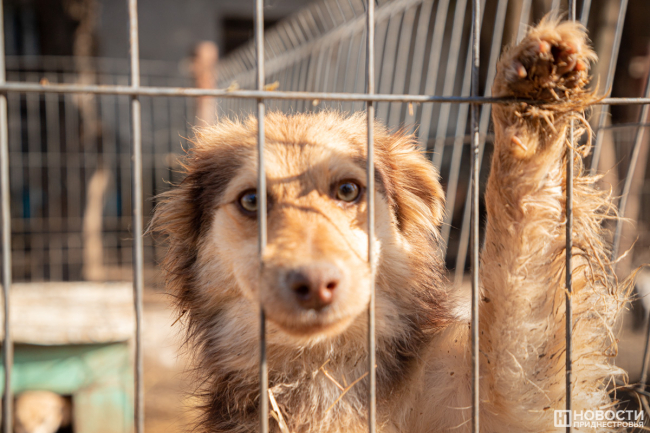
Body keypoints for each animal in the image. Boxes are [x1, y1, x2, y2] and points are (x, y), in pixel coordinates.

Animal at [152, 17, 631, 433]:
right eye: (251, 201)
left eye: (348, 190)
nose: (315, 284)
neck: (322, 369)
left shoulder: (517, 400)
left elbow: (517, 268)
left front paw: (533, 99)